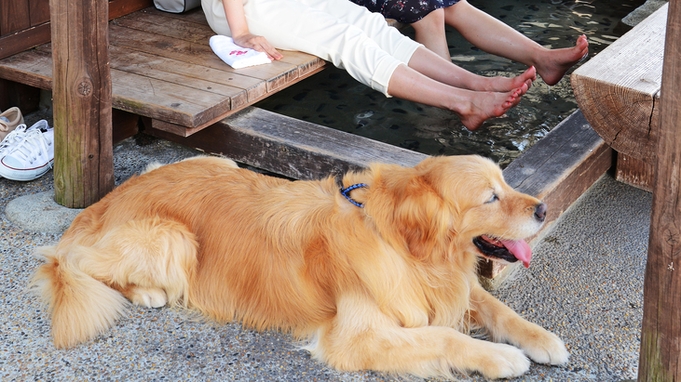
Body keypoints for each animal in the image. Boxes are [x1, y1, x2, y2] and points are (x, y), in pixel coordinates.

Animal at [30, 155, 568, 380]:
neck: (406, 250)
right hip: (172, 238)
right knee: (80, 264)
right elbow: (443, 337)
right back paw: (146, 292)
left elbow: (495, 307)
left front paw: (541, 340)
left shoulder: (449, 285)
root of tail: (101, 205)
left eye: (506, 182)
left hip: (219, 161)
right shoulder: (355, 338)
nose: (543, 209)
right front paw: (500, 358)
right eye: (490, 196)